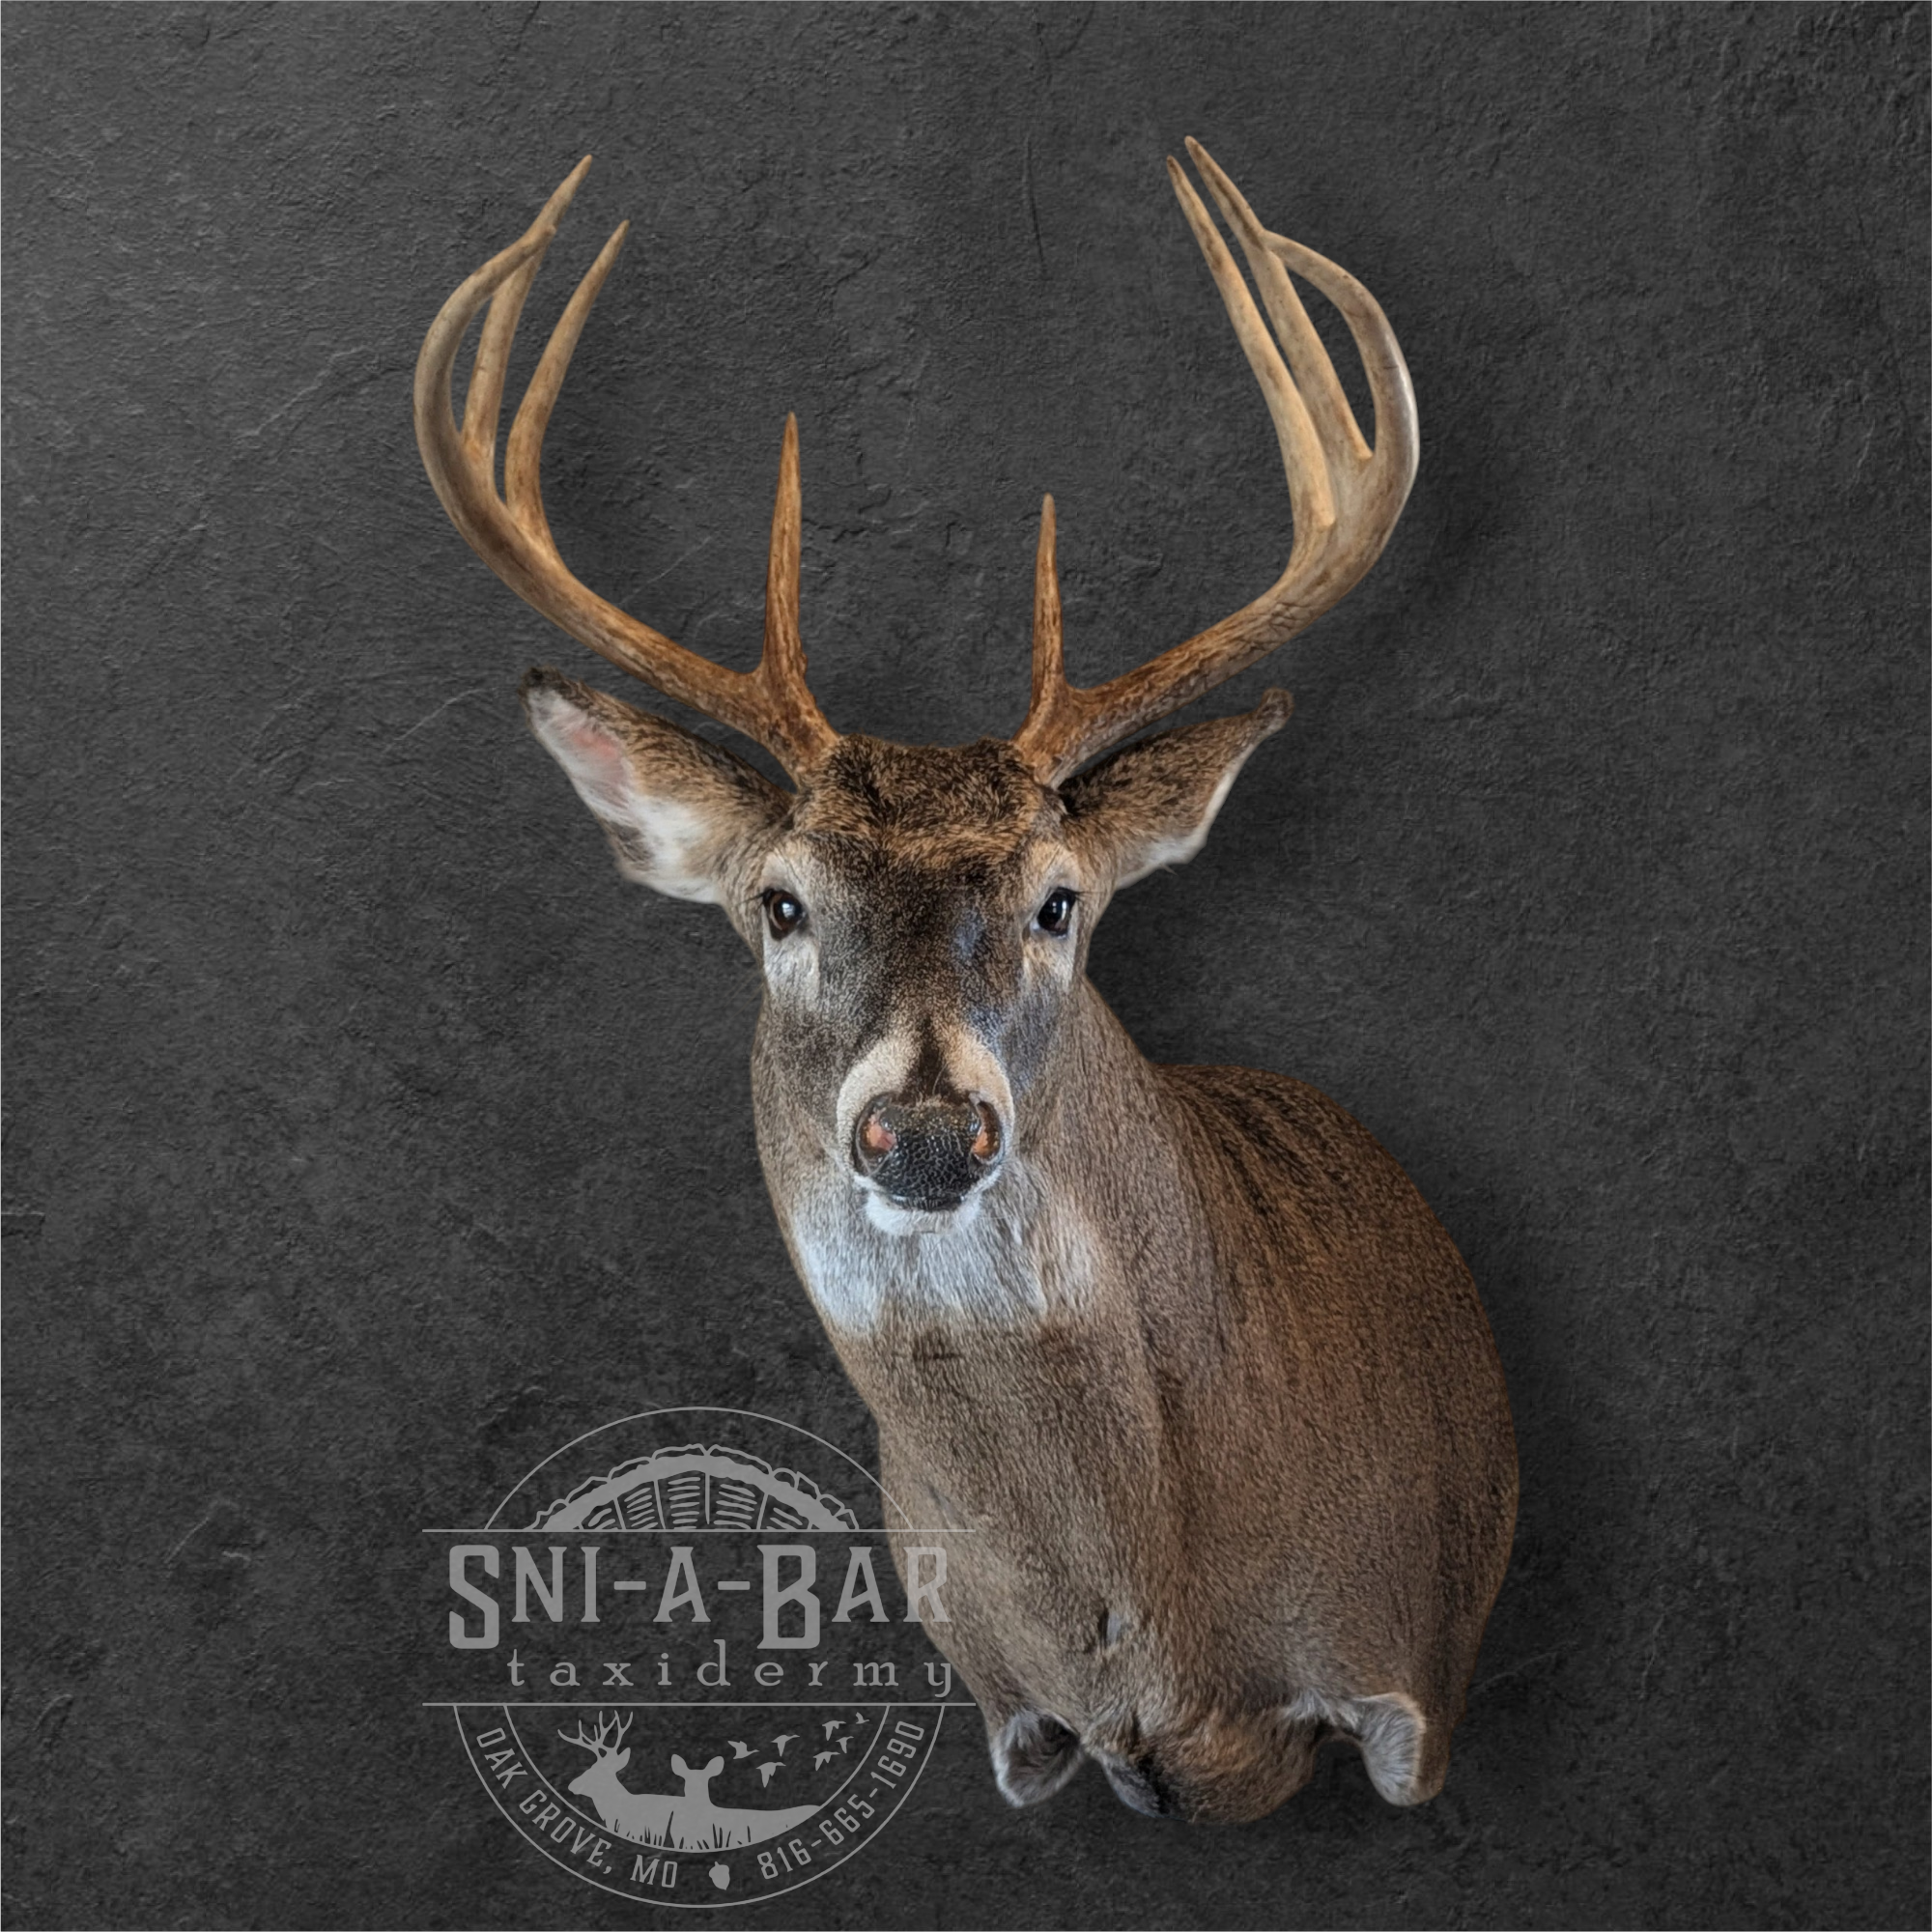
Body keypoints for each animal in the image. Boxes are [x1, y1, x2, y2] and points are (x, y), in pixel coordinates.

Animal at [415, 143, 1517, 1825]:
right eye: (780, 905)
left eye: (1062, 901)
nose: (927, 1131)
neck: (1155, 1643)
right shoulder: (1013, 1717)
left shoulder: (1406, 1682)